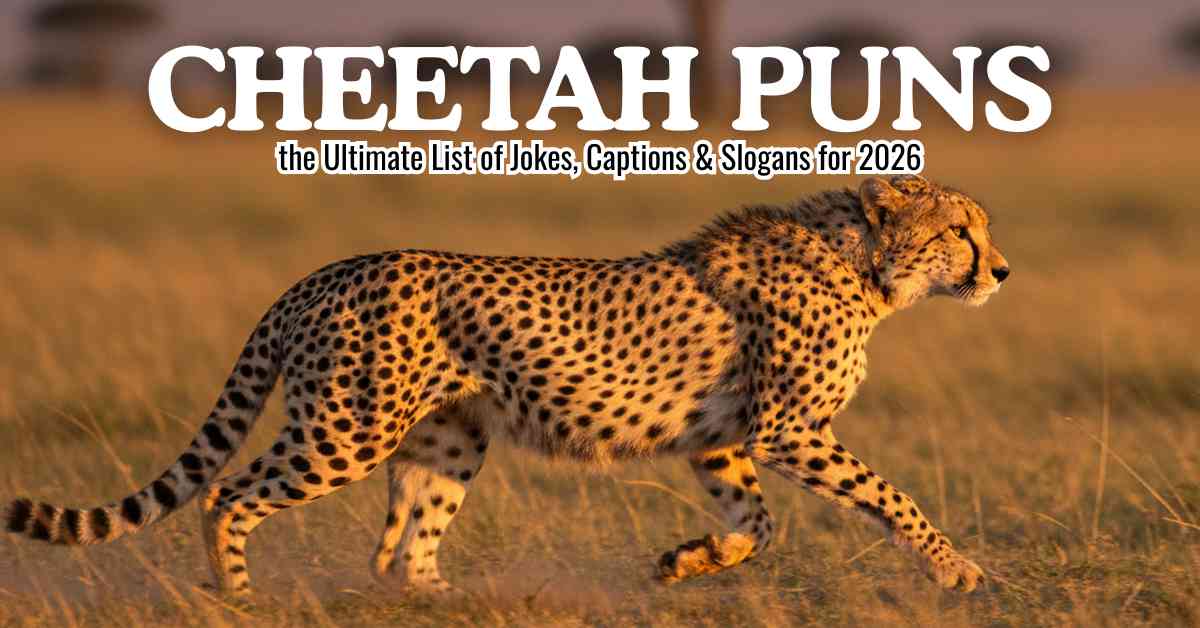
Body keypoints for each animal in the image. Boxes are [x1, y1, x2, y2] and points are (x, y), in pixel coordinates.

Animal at [6, 175, 1008, 597]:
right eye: (958, 231)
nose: (1000, 270)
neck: (863, 266)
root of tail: (324, 271)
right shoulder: (789, 430)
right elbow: (892, 498)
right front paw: (956, 569)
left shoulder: (722, 439)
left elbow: (755, 526)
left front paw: (685, 562)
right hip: (345, 430)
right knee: (228, 494)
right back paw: (241, 600)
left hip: (449, 436)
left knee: (403, 547)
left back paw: (445, 601)